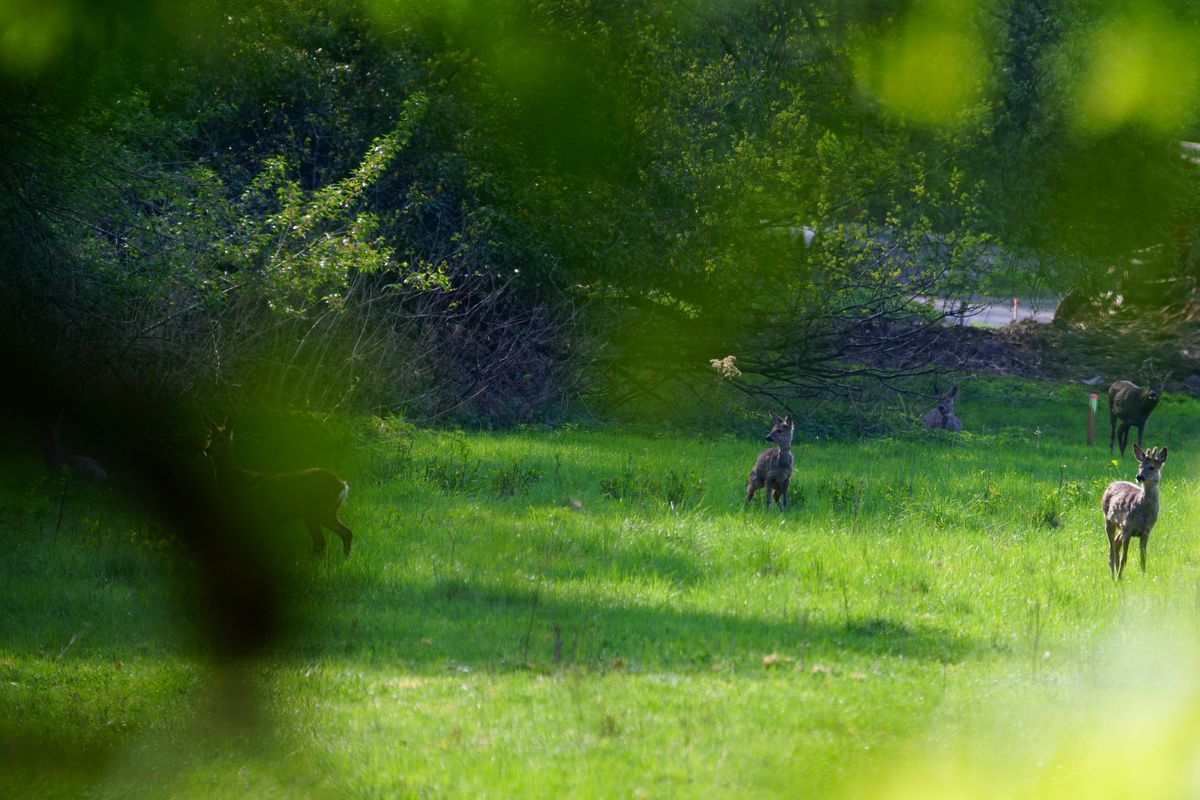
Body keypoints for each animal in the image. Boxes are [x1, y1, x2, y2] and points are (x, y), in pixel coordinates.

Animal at [199, 412, 350, 556]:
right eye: (208, 437)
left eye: (221, 438)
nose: (207, 449)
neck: (236, 479)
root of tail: (343, 484)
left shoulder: (251, 513)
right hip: (328, 513)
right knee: (346, 533)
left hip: (314, 511)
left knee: (321, 542)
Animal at [1099, 443, 1166, 582]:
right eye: (1139, 466)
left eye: (1152, 467)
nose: (1139, 476)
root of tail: (1110, 484)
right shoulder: (1128, 528)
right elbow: (1124, 558)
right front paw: (1119, 578)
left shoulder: (1146, 531)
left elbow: (1143, 558)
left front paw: (1144, 577)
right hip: (1108, 520)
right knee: (1111, 549)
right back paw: (1113, 576)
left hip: (1121, 526)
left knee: (1115, 543)